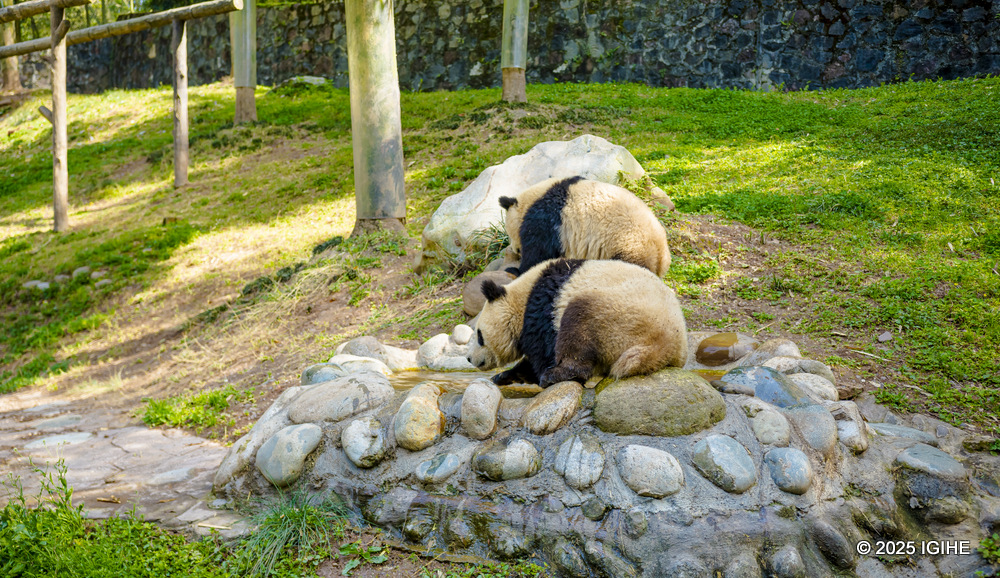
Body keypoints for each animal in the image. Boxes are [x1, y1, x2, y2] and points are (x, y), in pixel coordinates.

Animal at [467, 258, 687, 387]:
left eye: (479, 335)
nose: (469, 358)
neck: (521, 298)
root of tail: (665, 345)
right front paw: (503, 376)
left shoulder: (542, 310)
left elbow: (543, 352)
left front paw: (536, 374)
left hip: (620, 317)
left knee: (578, 325)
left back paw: (555, 376)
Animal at [498, 176, 671, 277]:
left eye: (509, 232)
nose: (515, 250)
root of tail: (661, 255)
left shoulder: (546, 220)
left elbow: (538, 254)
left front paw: (515, 270)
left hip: (629, 245)